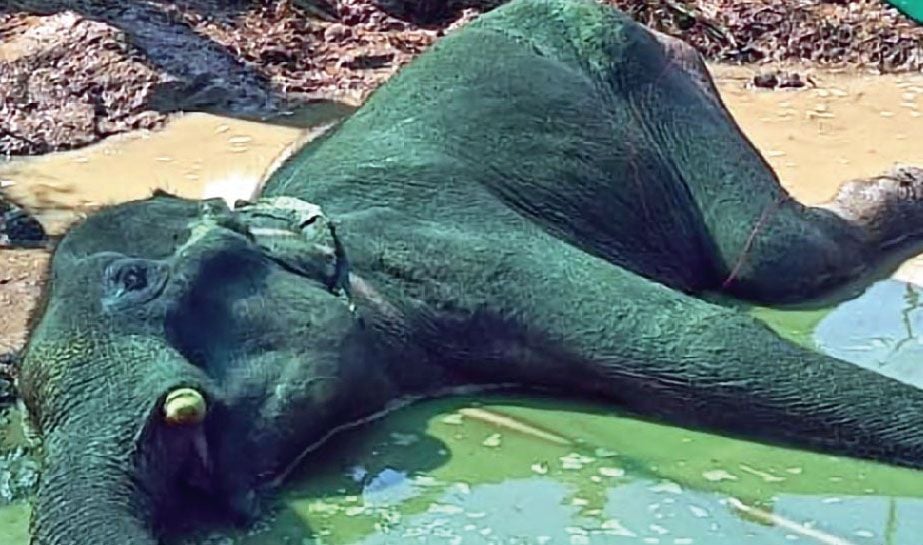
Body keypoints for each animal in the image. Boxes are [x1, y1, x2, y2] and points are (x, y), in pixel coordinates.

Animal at [16, 0, 923, 544]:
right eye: (23, 394)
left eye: (134, 282)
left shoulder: (461, 254)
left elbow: (697, 342)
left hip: (644, 67)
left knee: (772, 258)